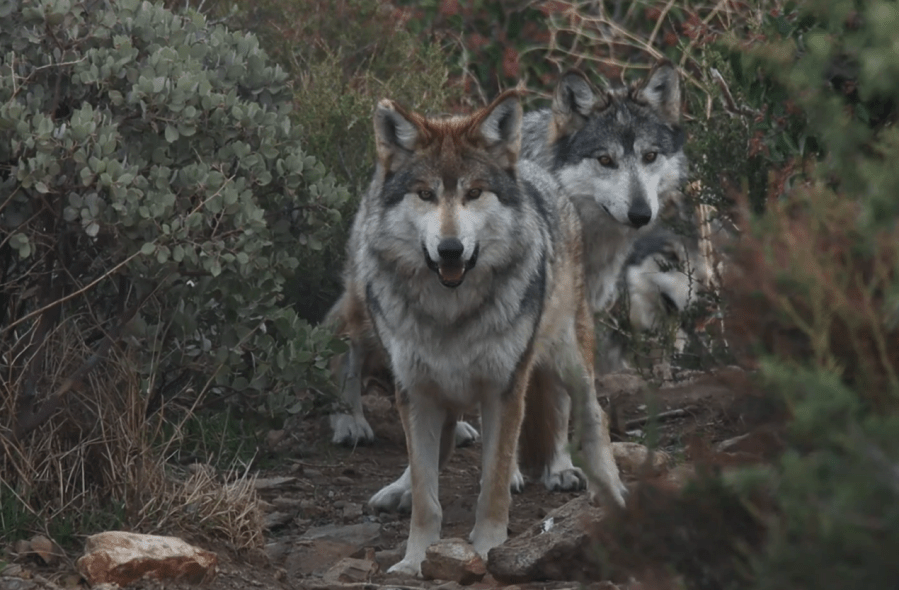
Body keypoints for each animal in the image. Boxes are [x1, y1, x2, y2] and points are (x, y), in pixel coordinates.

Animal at [342, 90, 628, 576]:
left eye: (474, 193)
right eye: (426, 194)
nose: (450, 249)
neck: (450, 312)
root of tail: (536, 171)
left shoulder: (504, 388)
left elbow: (492, 485)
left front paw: (488, 546)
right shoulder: (415, 391)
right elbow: (427, 496)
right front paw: (414, 560)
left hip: (566, 355)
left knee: (592, 414)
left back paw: (609, 491)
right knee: (439, 449)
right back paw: (399, 489)